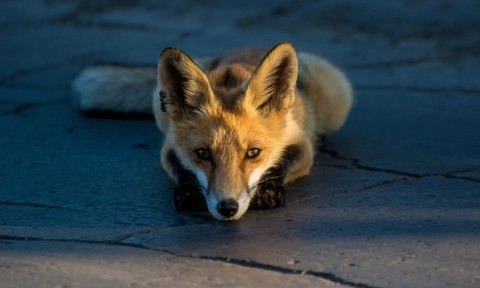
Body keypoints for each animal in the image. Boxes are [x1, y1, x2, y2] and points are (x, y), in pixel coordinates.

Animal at [74, 42, 352, 220]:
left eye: (253, 153)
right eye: (203, 154)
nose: (227, 208)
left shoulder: (301, 144)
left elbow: (281, 163)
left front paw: (268, 190)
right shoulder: (169, 145)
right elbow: (182, 168)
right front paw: (188, 192)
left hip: (335, 93)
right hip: (158, 103)